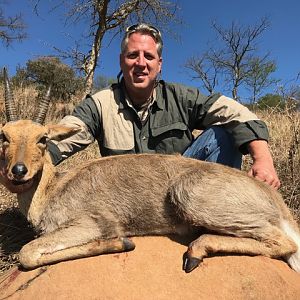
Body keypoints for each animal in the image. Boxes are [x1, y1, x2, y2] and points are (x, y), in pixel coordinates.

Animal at [0, 68, 300, 274]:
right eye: (4, 136)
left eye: (42, 138)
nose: (18, 171)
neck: (52, 189)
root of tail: (274, 198)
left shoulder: (90, 224)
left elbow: (27, 253)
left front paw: (123, 242)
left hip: (194, 198)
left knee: (285, 244)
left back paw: (195, 252)